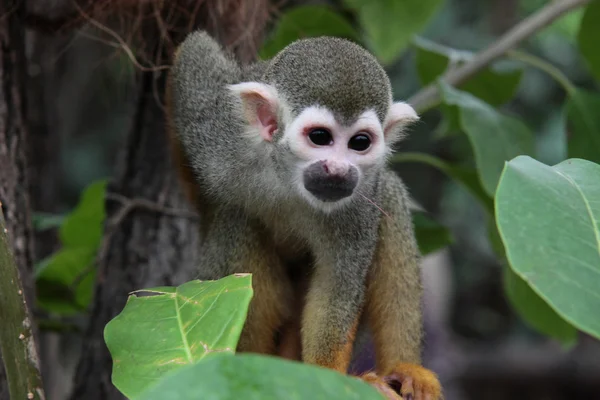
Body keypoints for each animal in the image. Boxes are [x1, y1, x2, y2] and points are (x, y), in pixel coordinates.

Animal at [166, 31, 442, 400]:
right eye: (320, 137)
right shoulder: (217, 135)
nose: (338, 170)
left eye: (360, 142)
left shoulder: (358, 198)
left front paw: (329, 376)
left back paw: (406, 367)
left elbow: (335, 289)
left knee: (390, 195)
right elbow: (193, 55)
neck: (287, 177)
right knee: (238, 223)